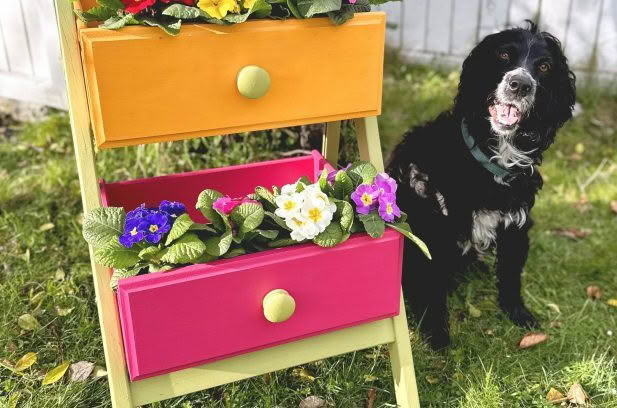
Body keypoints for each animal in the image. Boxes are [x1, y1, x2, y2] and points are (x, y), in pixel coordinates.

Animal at [388, 21, 576, 348]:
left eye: (544, 67)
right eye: (503, 54)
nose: (520, 84)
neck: (493, 160)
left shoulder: (516, 226)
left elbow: (511, 276)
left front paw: (518, 314)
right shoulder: (435, 230)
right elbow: (432, 288)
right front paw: (436, 333)